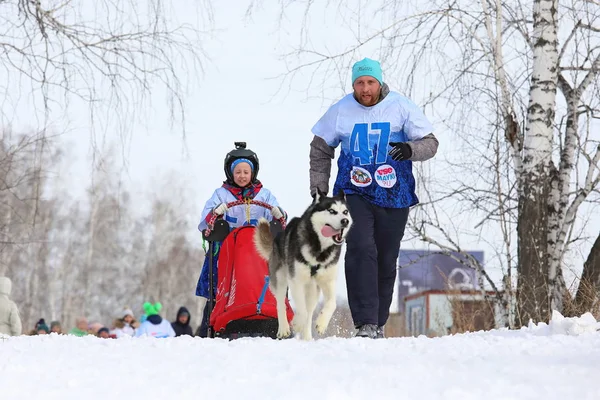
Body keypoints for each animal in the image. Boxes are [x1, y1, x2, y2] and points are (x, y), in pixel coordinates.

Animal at [253, 189, 352, 340]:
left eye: (345, 211)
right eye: (331, 211)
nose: (345, 221)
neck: (320, 250)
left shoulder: (328, 281)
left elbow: (331, 304)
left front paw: (322, 324)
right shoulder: (296, 281)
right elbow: (301, 309)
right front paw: (296, 324)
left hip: (313, 290)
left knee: (310, 311)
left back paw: (307, 337)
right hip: (280, 279)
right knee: (281, 303)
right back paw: (284, 329)